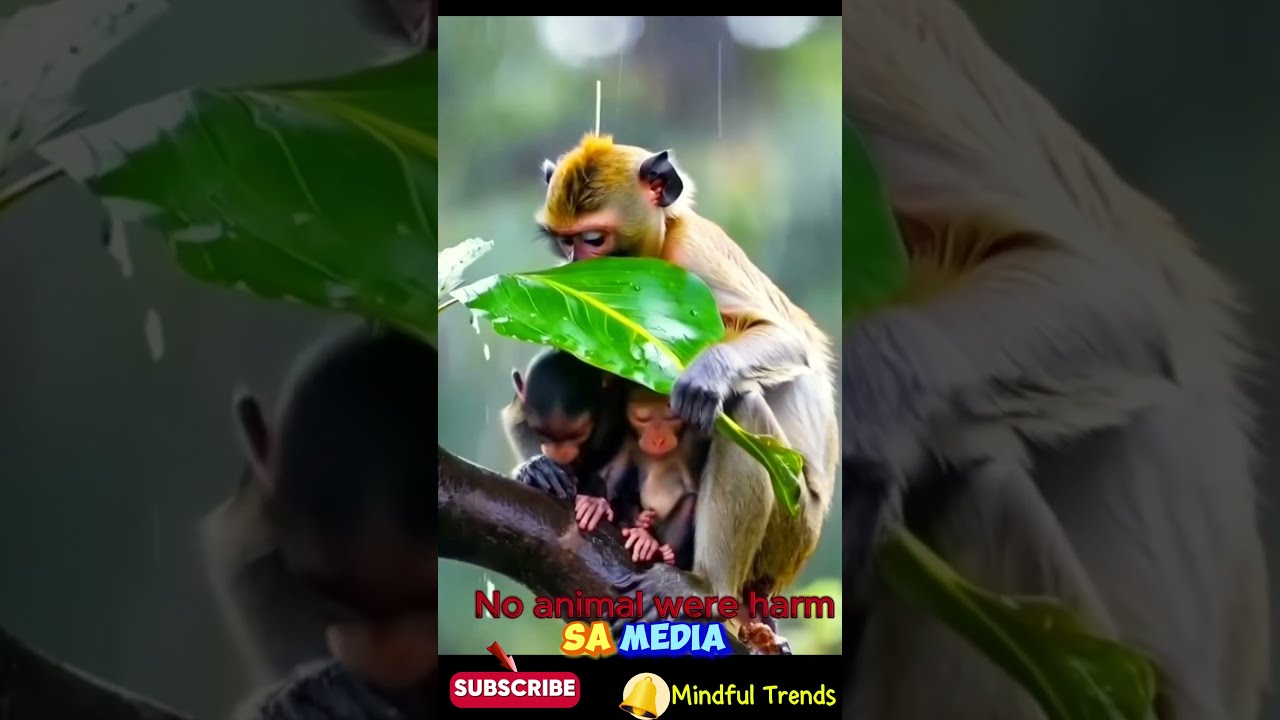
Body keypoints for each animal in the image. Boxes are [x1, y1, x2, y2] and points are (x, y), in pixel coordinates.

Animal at [535, 135, 839, 654]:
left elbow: (784, 339)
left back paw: (706, 587)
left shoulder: (695, 260)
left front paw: (706, 377)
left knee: (740, 410)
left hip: (791, 523)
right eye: (565, 241)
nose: (576, 266)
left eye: (594, 239)